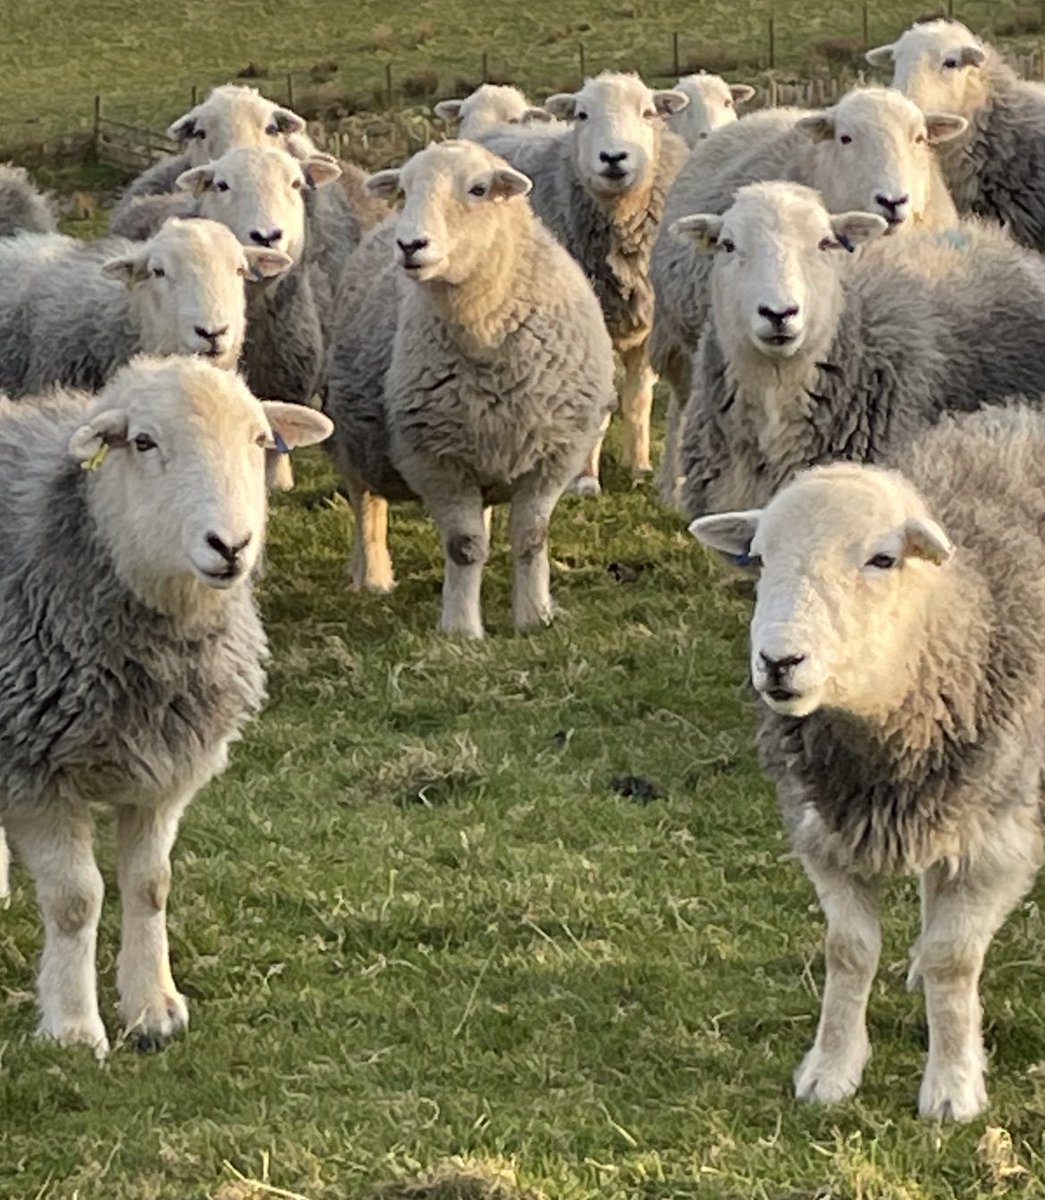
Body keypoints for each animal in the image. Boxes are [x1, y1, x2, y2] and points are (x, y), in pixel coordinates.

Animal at [0, 355, 332, 1053]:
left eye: (260, 440)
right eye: (144, 442)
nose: (231, 545)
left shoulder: (166, 766)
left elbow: (151, 885)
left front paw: (152, 1008)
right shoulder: (33, 768)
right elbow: (75, 899)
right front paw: (74, 1029)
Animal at [324, 140, 615, 636]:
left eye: (478, 189)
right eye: (404, 190)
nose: (410, 245)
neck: (484, 333)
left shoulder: (552, 455)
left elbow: (531, 538)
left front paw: (534, 616)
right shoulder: (434, 458)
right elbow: (463, 545)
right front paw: (461, 628)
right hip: (355, 435)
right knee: (366, 506)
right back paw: (372, 576)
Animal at [477, 72, 690, 488]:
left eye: (648, 113)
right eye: (582, 114)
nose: (613, 158)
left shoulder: (648, 322)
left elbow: (637, 399)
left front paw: (639, 467)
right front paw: (586, 479)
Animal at [649, 87, 966, 501]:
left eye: (920, 138)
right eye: (845, 138)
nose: (893, 201)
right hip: (683, 341)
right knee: (681, 405)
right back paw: (671, 483)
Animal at [690, 404, 1045, 1120]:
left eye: (883, 558)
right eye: (759, 558)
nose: (778, 662)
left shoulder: (998, 838)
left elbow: (955, 958)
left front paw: (952, 1086)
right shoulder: (828, 831)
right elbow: (848, 951)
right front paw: (831, 1070)